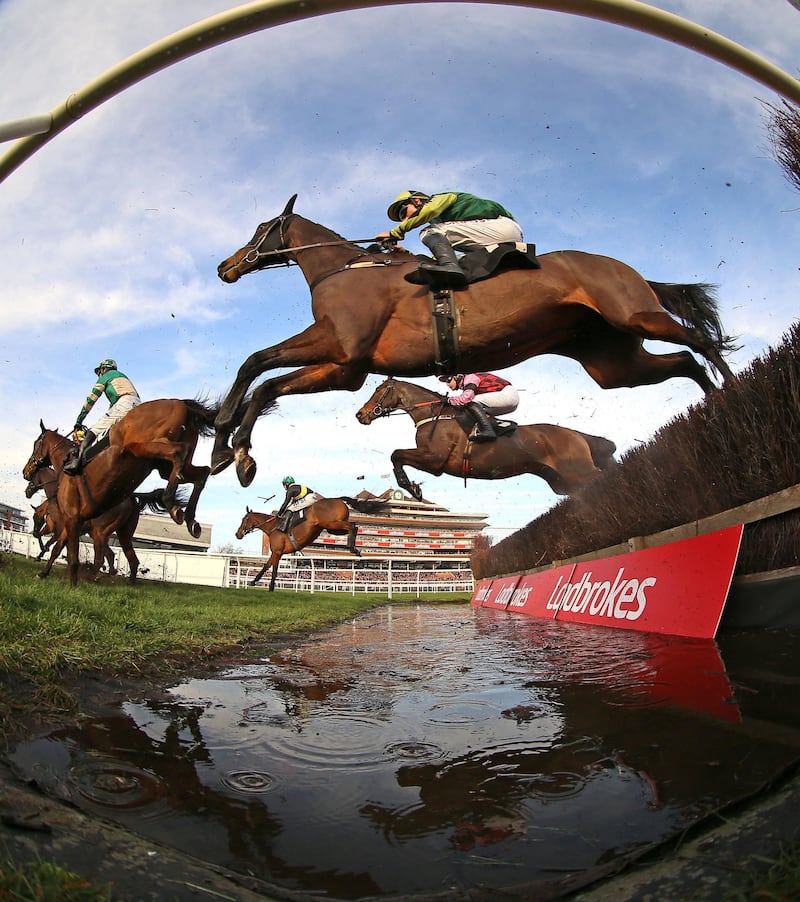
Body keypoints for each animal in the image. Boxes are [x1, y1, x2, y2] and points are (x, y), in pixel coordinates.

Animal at [23, 398, 217, 588]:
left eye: (36, 444)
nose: (25, 472)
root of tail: (180, 402)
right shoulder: (72, 523)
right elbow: (56, 549)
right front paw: (43, 573)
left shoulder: (71, 518)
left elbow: (71, 556)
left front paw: (73, 585)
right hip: (160, 470)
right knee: (202, 472)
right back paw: (190, 520)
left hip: (141, 449)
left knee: (179, 452)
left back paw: (171, 502)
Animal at [236, 494, 386, 592]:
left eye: (244, 519)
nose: (237, 534)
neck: (273, 527)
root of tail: (339, 499)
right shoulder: (279, 553)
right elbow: (269, 567)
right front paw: (258, 583)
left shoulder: (277, 552)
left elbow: (270, 568)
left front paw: (264, 585)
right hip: (332, 527)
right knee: (354, 526)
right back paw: (354, 549)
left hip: (331, 523)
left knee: (352, 526)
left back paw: (352, 547)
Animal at [356, 376, 620, 498]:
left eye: (378, 390)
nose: (360, 414)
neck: (433, 415)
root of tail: (576, 434)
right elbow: (396, 456)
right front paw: (412, 488)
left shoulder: (434, 459)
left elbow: (396, 454)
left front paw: (411, 488)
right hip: (562, 482)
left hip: (577, 471)